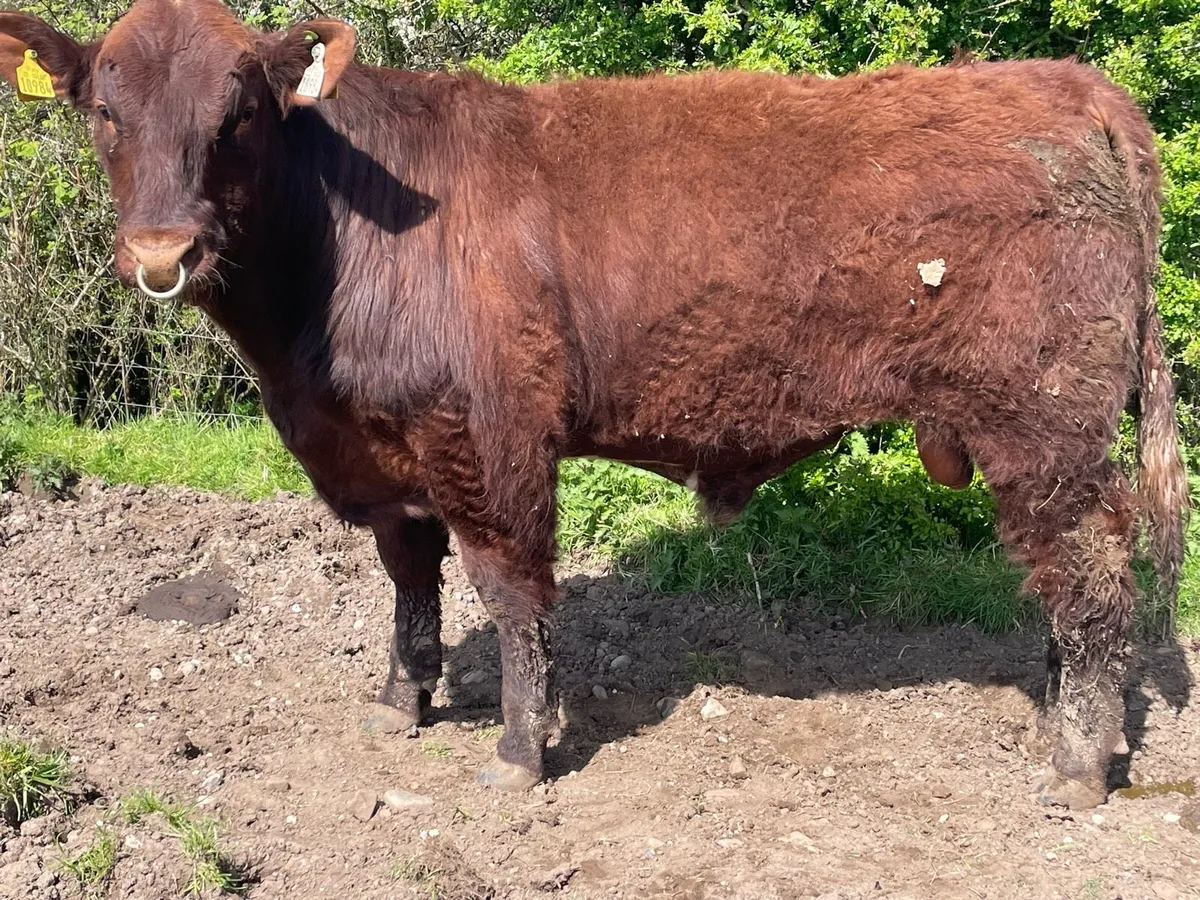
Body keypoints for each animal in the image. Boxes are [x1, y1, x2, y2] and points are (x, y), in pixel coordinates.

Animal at [0, 0, 1187, 809]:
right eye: (102, 111)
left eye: (240, 112)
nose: (163, 253)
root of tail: (1078, 91)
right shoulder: (381, 457)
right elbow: (410, 579)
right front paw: (401, 700)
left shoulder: (489, 435)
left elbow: (509, 586)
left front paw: (521, 750)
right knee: (1068, 583)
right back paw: (1068, 715)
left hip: (1044, 426)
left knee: (1090, 572)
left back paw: (1078, 758)